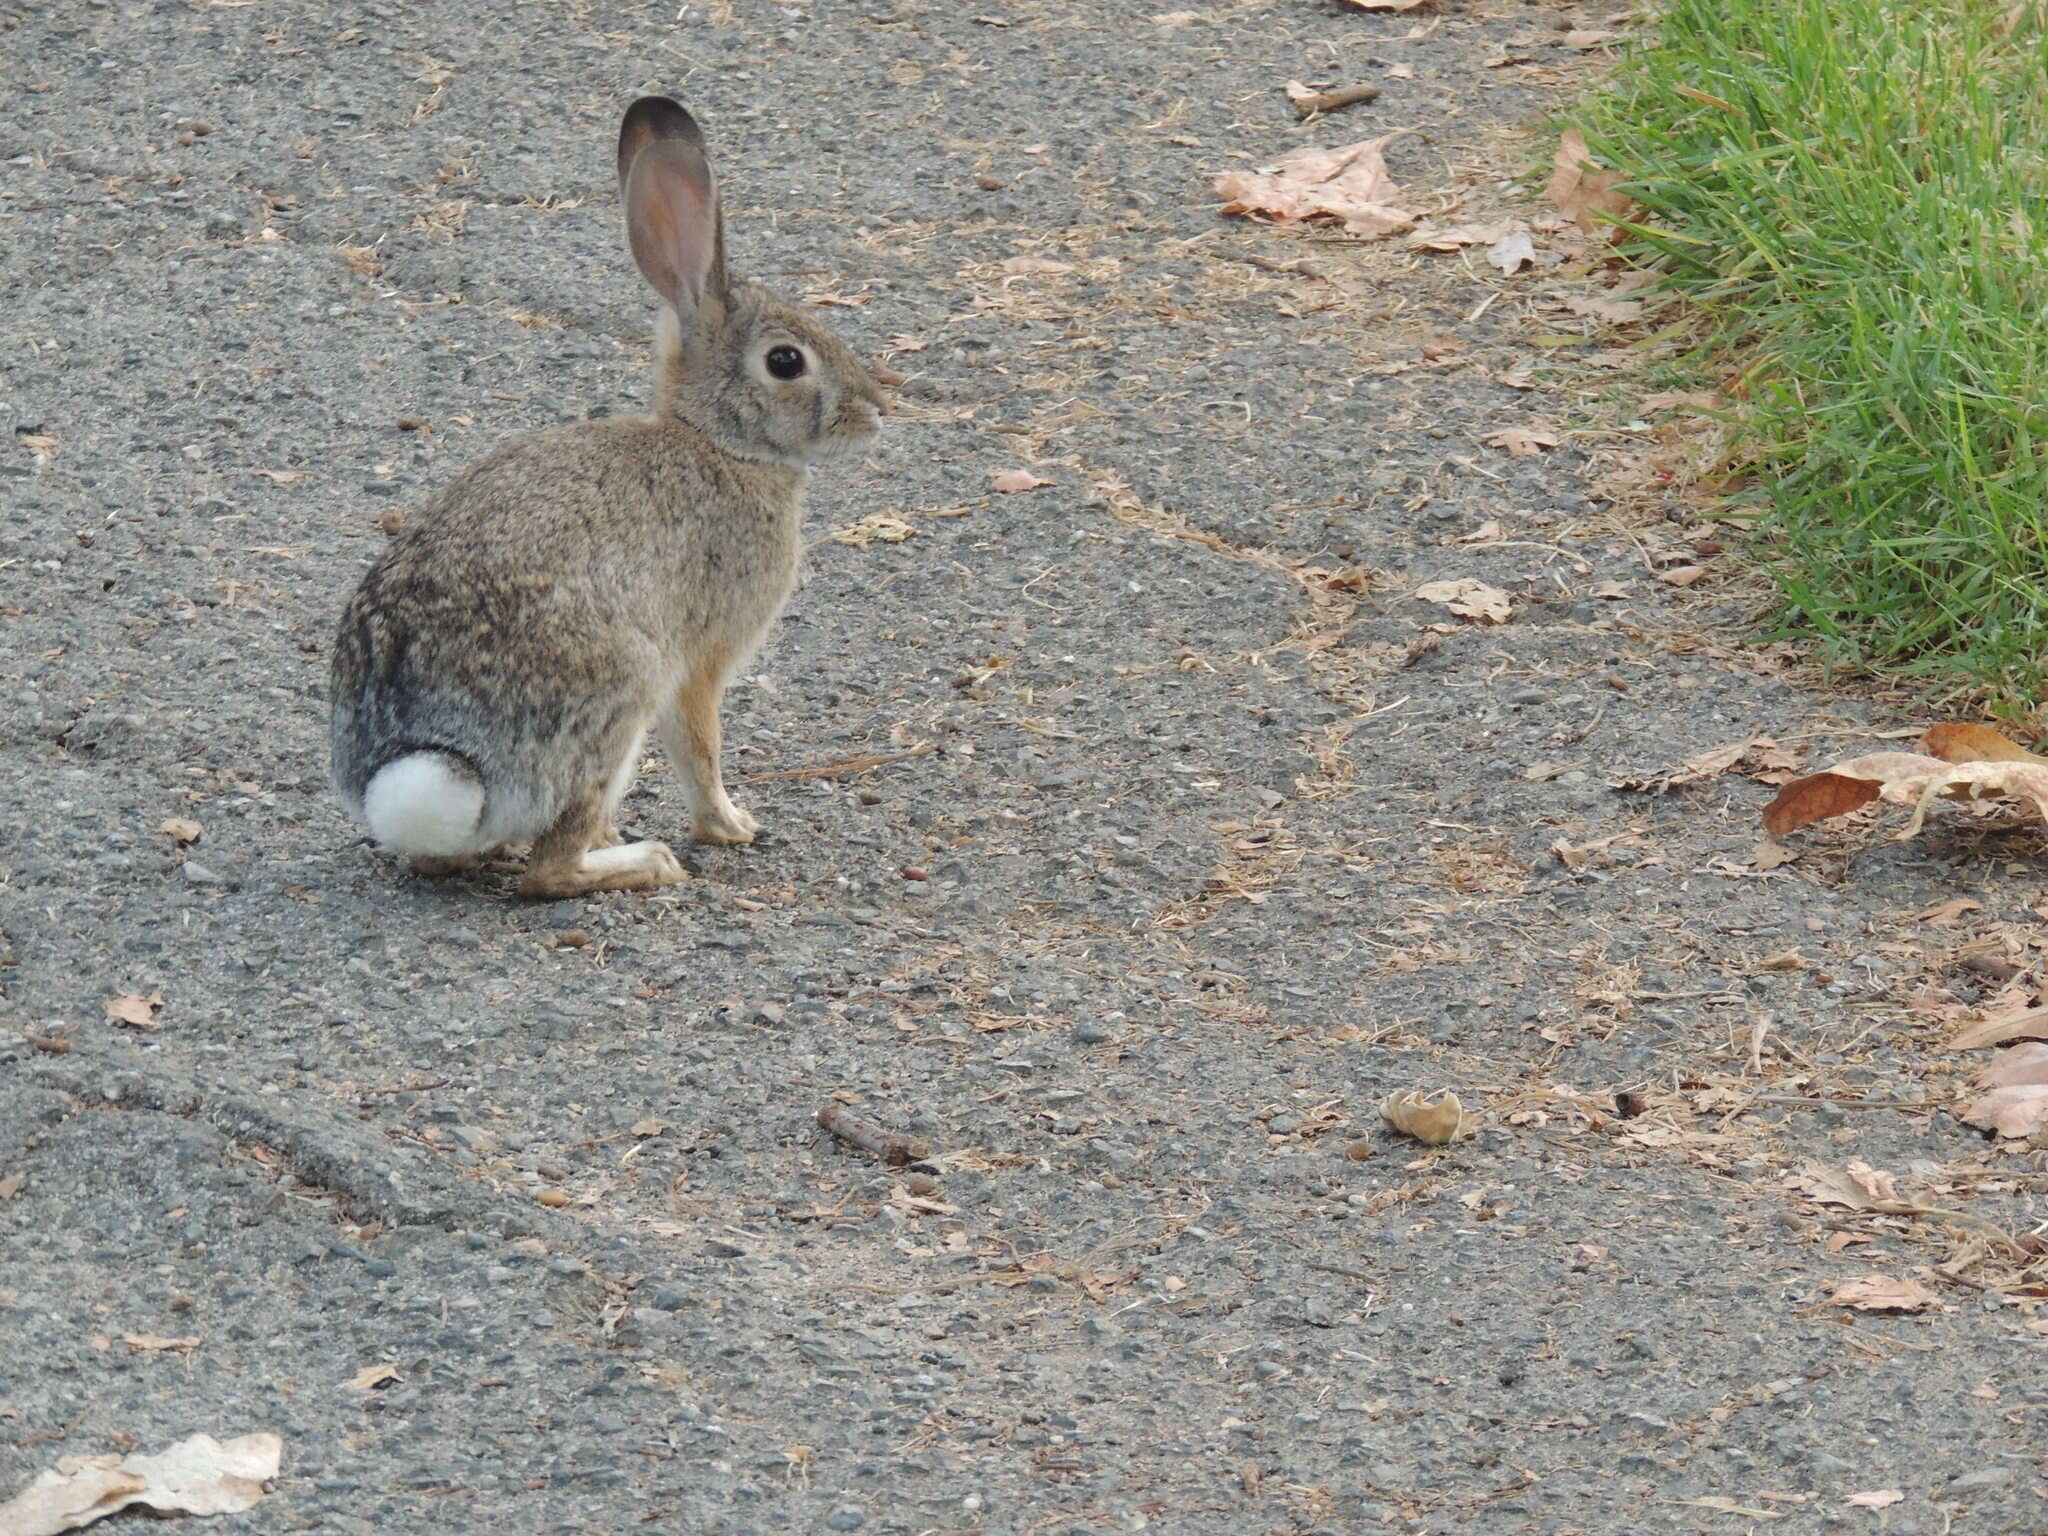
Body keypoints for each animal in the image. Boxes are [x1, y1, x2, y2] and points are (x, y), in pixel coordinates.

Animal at [325, 96, 880, 901]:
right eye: (785, 361)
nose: (874, 413)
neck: (717, 442)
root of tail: (439, 766)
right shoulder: (701, 658)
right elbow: (701, 746)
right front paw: (731, 826)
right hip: (618, 694)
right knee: (548, 870)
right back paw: (645, 860)